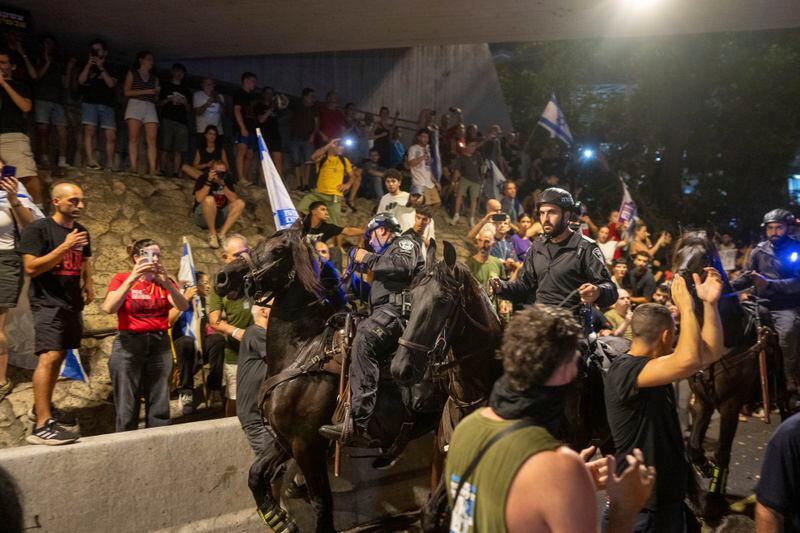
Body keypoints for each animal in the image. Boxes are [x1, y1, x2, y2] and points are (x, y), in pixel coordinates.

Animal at [672, 230, 784, 520]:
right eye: (679, 253)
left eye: (705, 257)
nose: (680, 279)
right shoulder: (703, 401)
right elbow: (694, 445)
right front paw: (704, 466)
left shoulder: (731, 405)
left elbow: (723, 450)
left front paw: (713, 497)